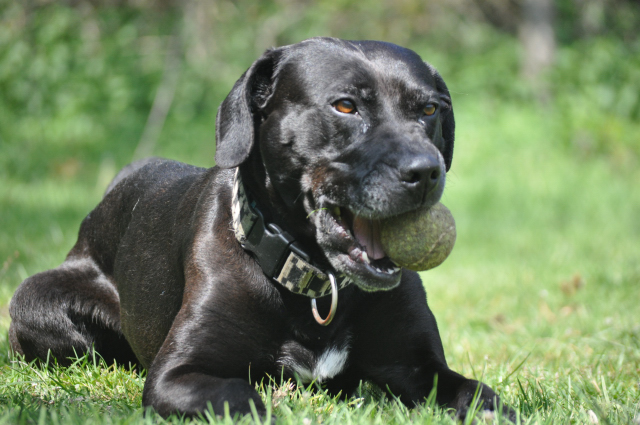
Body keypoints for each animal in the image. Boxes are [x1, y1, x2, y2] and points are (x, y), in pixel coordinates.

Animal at [11, 38, 516, 420]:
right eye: (346, 106)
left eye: (429, 109)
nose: (426, 171)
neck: (316, 283)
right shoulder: (178, 374)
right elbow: (243, 396)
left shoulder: (418, 365)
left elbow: (480, 395)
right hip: (35, 306)